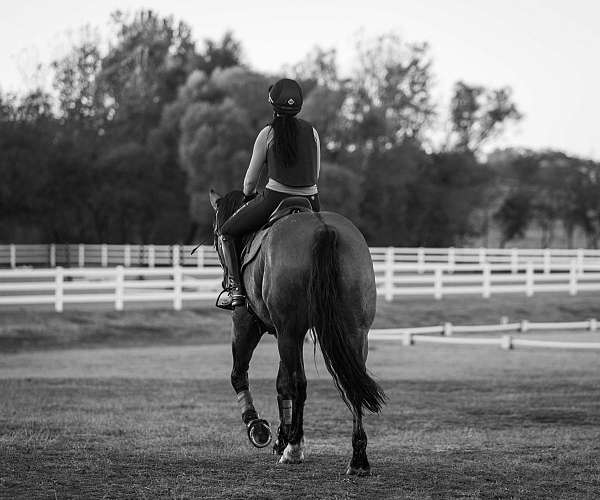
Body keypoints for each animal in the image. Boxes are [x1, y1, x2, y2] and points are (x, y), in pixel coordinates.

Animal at [211, 189, 386, 474]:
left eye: (217, 234)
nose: (227, 281)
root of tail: (323, 230)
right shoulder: (290, 333)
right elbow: (281, 383)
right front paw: (283, 436)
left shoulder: (249, 323)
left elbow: (240, 375)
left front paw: (259, 428)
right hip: (354, 331)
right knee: (352, 385)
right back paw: (358, 459)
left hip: (287, 331)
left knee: (298, 383)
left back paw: (293, 449)